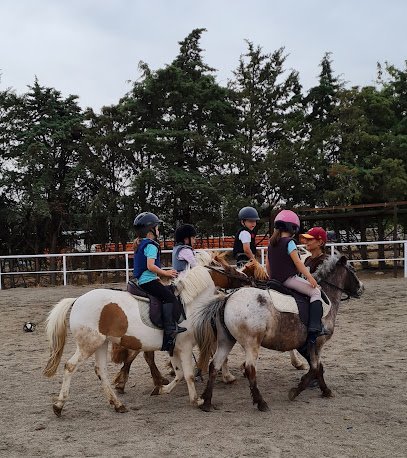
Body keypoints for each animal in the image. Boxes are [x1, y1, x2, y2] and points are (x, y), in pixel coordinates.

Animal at [43, 262, 223, 416]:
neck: (188, 304)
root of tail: (77, 300)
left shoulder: (174, 348)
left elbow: (179, 374)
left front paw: (161, 389)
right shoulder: (184, 347)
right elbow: (188, 375)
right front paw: (196, 400)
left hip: (101, 344)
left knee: (101, 371)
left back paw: (117, 404)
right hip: (88, 345)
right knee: (70, 366)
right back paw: (59, 405)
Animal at [193, 254, 364, 412]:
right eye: (353, 270)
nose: (362, 288)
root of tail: (228, 298)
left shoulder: (308, 344)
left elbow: (318, 367)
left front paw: (324, 389)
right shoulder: (318, 343)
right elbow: (316, 367)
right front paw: (297, 390)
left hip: (226, 340)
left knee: (214, 365)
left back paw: (207, 401)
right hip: (251, 343)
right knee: (249, 369)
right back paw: (261, 402)